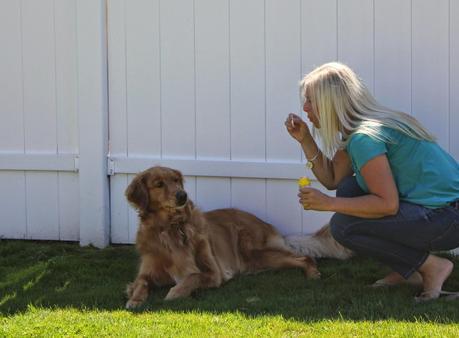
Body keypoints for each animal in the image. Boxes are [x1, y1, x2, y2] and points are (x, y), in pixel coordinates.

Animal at [124, 166, 322, 308]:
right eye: (159, 184)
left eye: (176, 180)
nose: (182, 195)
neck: (172, 227)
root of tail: (263, 221)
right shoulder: (147, 271)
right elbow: (141, 283)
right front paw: (134, 300)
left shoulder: (214, 273)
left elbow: (192, 277)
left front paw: (175, 292)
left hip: (255, 254)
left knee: (305, 257)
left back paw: (313, 273)